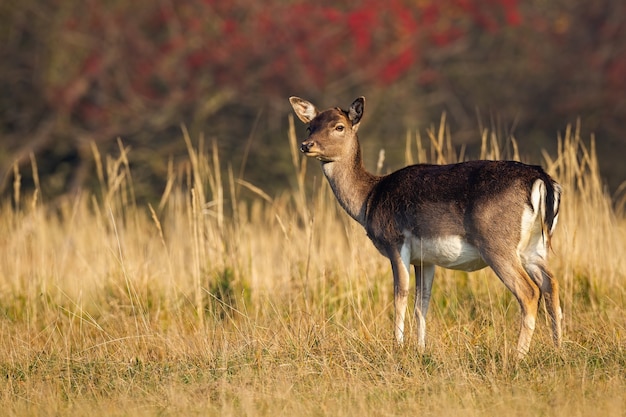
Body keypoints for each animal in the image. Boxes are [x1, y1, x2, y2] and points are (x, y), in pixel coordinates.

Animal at [290, 96, 564, 356]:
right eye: (309, 126)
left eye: (339, 127)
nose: (306, 145)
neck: (369, 199)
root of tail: (541, 180)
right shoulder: (425, 259)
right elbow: (422, 302)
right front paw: (420, 349)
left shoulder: (396, 241)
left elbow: (400, 294)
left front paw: (398, 346)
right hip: (534, 247)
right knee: (551, 284)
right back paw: (558, 348)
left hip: (497, 243)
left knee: (529, 292)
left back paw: (518, 355)